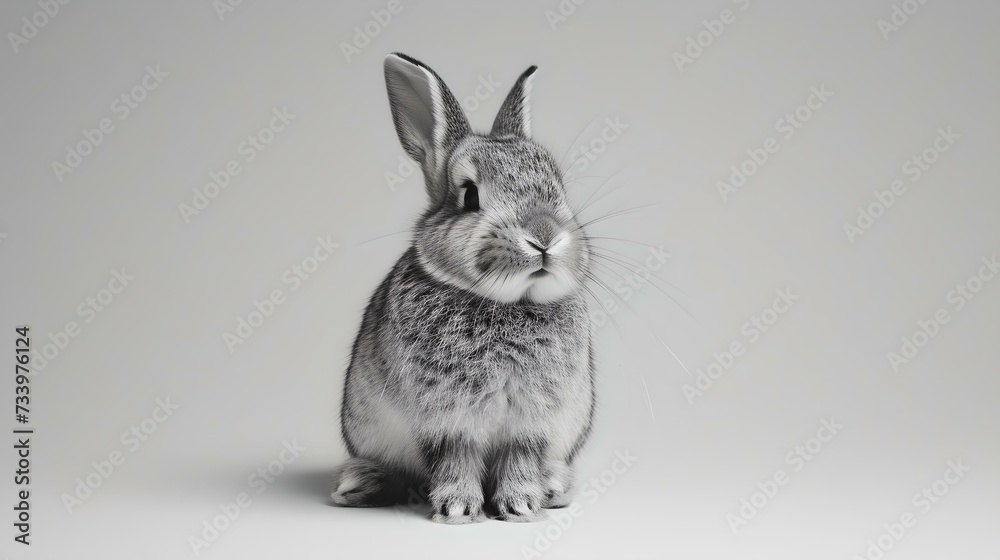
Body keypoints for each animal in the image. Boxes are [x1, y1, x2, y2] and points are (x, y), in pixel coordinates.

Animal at [332, 53, 596, 524]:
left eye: (559, 188)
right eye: (470, 196)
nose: (544, 236)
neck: (507, 305)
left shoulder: (530, 425)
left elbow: (519, 459)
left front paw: (521, 506)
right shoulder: (448, 421)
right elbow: (455, 458)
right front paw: (457, 509)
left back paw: (551, 487)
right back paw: (361, 485)